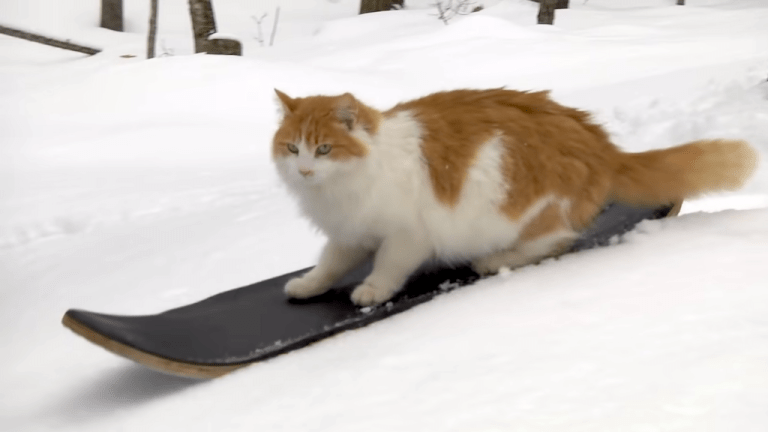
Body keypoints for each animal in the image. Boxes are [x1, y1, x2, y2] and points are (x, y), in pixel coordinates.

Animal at [270, 88, 756, 308]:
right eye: (293, 148)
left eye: (324, 148)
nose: (305, 170)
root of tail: (603, 147)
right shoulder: (349, 233)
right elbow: (328, 265)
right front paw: (308, 285)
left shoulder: (408, 235)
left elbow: (388, 267)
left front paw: (371, 290)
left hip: (525, 209)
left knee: (557, 239)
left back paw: (494, 260)